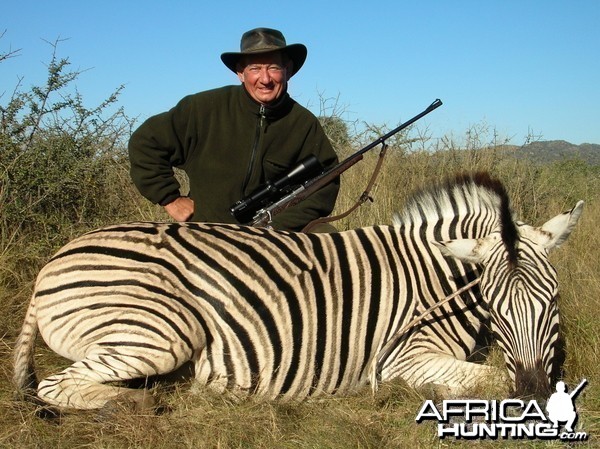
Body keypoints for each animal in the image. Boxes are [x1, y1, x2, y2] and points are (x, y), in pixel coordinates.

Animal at [11, 172, 584, 410]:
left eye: (553, 303)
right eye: (495, 306)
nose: (534, 393)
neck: (436, 275)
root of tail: (49, 266)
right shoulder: (402, 358)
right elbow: (489, 377)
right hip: (163, 330)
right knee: (57, 388)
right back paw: (144, 402)